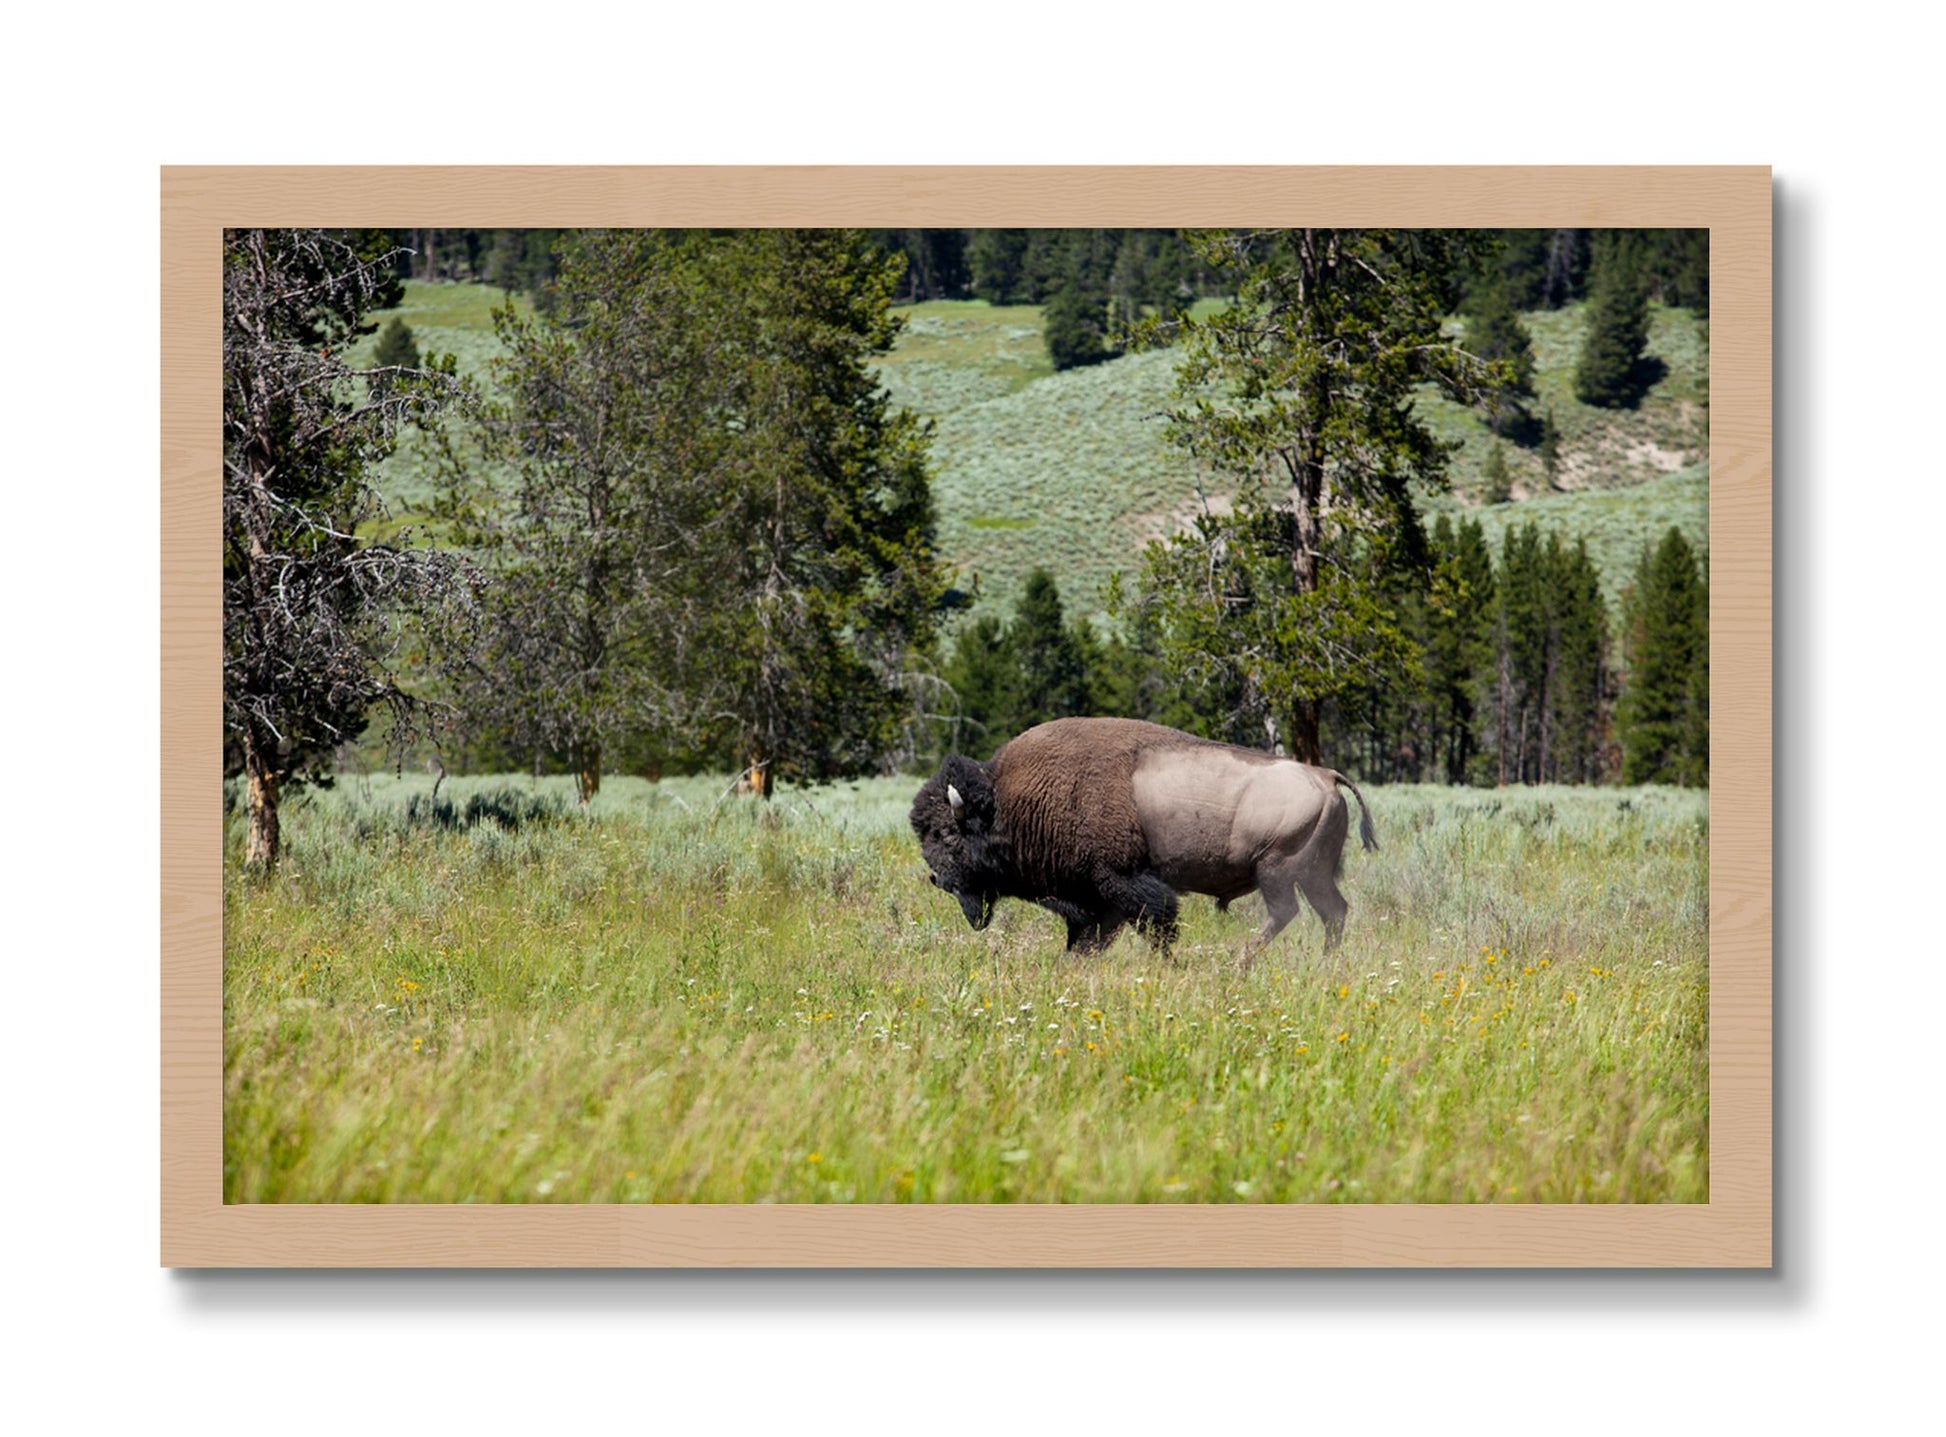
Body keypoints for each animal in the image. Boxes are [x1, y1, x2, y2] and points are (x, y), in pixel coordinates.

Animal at [909, 717, 1377, 957]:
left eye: (947, 835)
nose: (937, 878)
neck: (1009, 801)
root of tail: (1325, 775)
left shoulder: (1122, 884)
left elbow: (1157, 926)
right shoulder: (1095, 901)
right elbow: (1088, 941)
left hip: (1277, 870)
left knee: (1286, 913)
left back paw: (1239, 963)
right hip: (1313, 875)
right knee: (1333, 912)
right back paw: (1324, 962)